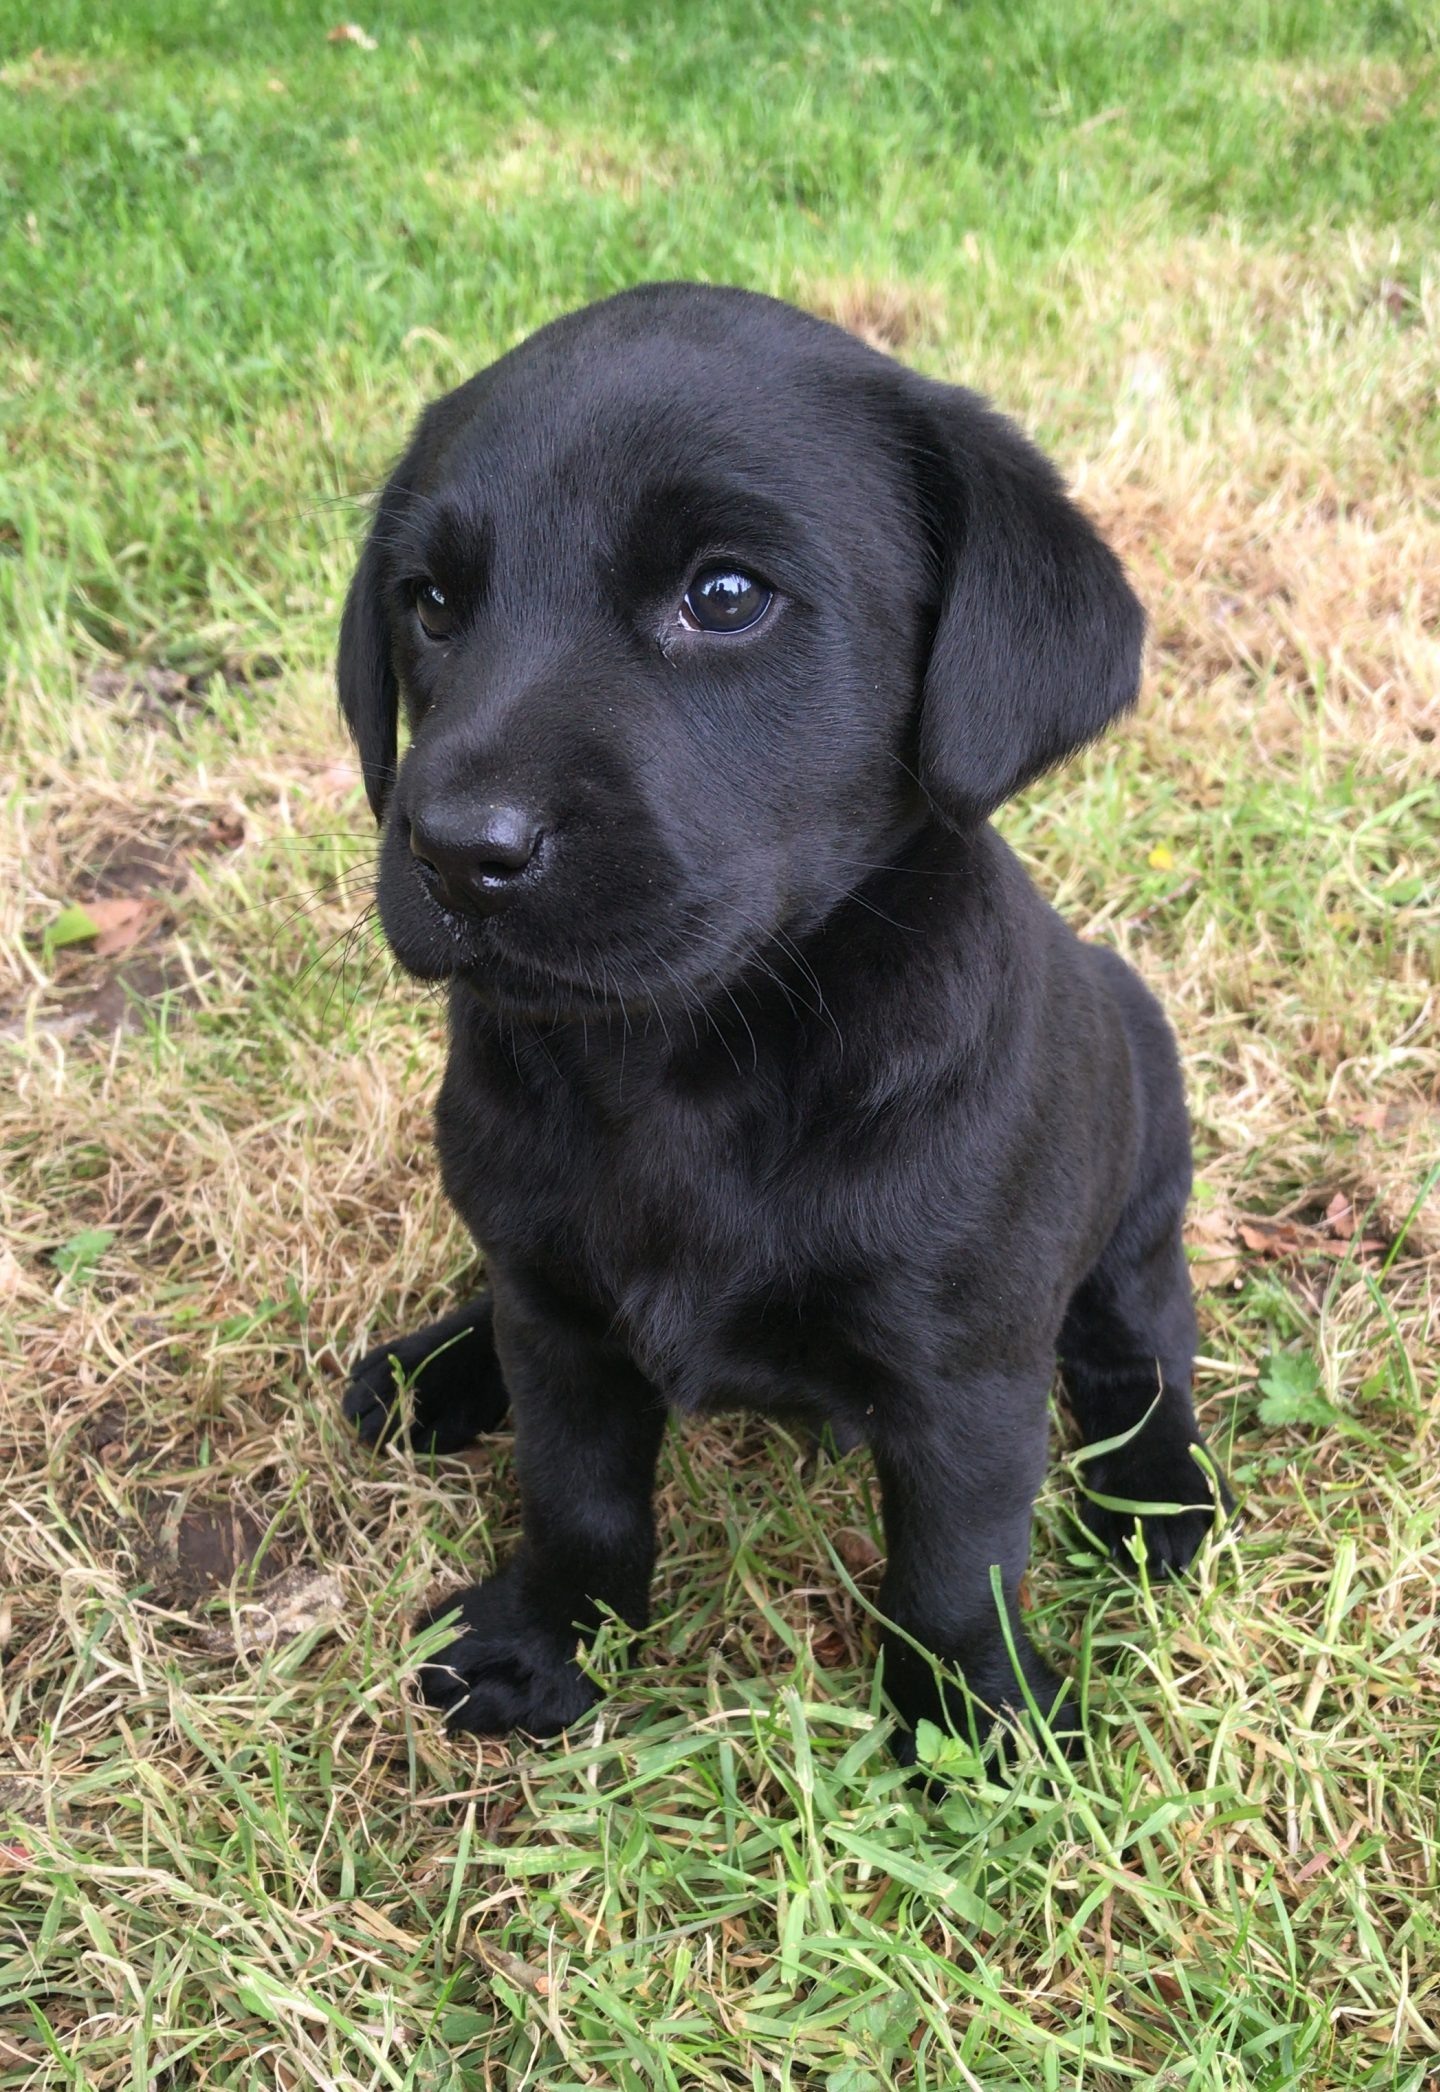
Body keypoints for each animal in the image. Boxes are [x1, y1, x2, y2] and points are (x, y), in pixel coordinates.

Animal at [334, 278, 1222, 1748]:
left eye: (726, 594)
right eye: (434, 605)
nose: (459, 852)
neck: (686, 1062)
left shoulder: (967, 1369)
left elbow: (955, 1562)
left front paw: (974, 1721)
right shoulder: (559, 1325)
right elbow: (576, 1489)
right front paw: (548, 1637)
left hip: (1137, 1186)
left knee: (1140, 1348)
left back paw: (1159, 1497)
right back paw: (434, 1369)